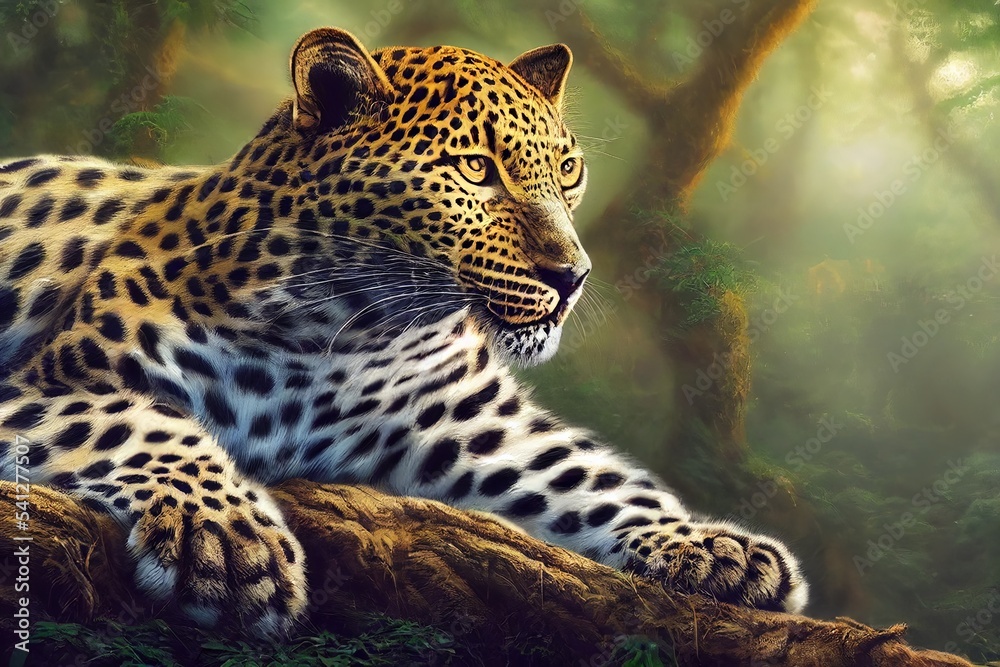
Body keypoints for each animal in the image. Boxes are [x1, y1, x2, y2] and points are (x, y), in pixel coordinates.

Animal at [0, 27, 808, 636]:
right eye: (477, 170)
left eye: (569, 170)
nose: (572, 276)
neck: (338, 330)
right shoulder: (43, 384)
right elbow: (140, 422)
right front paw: (230, 541)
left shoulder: (468, 421)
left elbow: (586, 473)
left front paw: (718, 548)